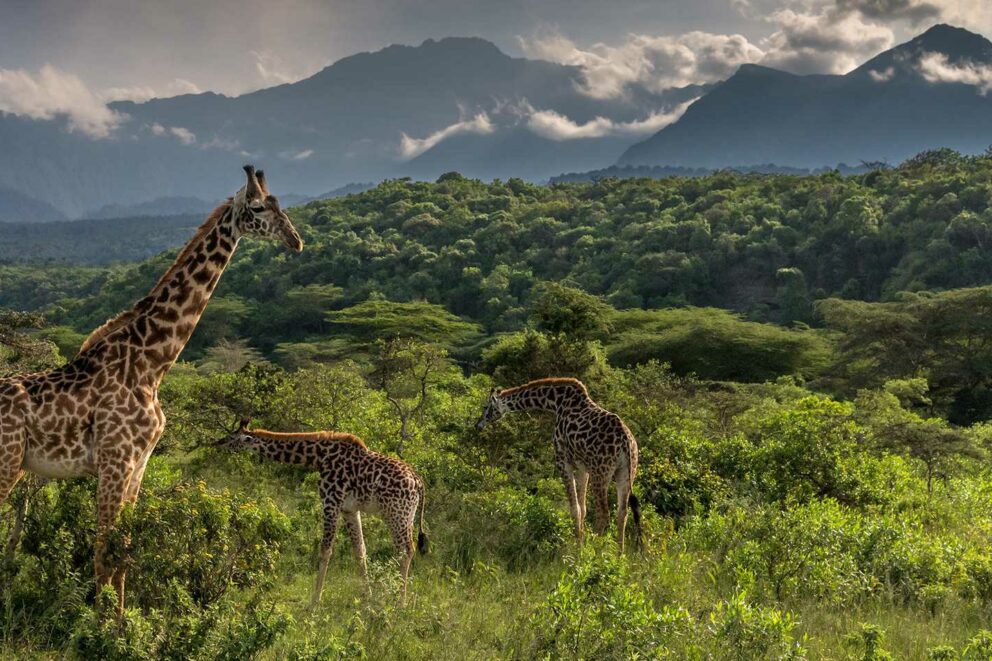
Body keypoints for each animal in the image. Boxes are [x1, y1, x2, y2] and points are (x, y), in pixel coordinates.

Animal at [0, 165, 302, 616]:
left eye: (279, 203)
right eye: (258, 207)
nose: (295, 240)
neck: (151, 363)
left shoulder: (138, 464)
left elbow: (123, 551)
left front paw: (120, 625)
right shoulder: (115, 461)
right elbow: (103, 552)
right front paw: (98, 626)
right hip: (7, 463)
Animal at [215, 422, 428, 606]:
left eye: (232, 437)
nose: (217, 443)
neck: (319, 457)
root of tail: (418, 481)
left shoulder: (330, 502)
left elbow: (326, 550)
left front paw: (314, 602)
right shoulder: (349, 509)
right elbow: (360, 550)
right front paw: (366, 597)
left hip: (397, 514)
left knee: (406, 550)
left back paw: (400, 604)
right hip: (407, 516)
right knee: (405, 549)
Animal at [475, 377, 641, 552]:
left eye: (486, 407)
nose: (478, 424)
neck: (555, 402)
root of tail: (625, 440)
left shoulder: (563, 461)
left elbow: (574, 509)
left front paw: (578, 550)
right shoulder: (583, 467)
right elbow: (583, 508)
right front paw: (581, 544)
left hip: (601, 472)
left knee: (603, 512)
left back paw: (597, 551)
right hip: (626, 472)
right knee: (622, 512)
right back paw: (619, 554)